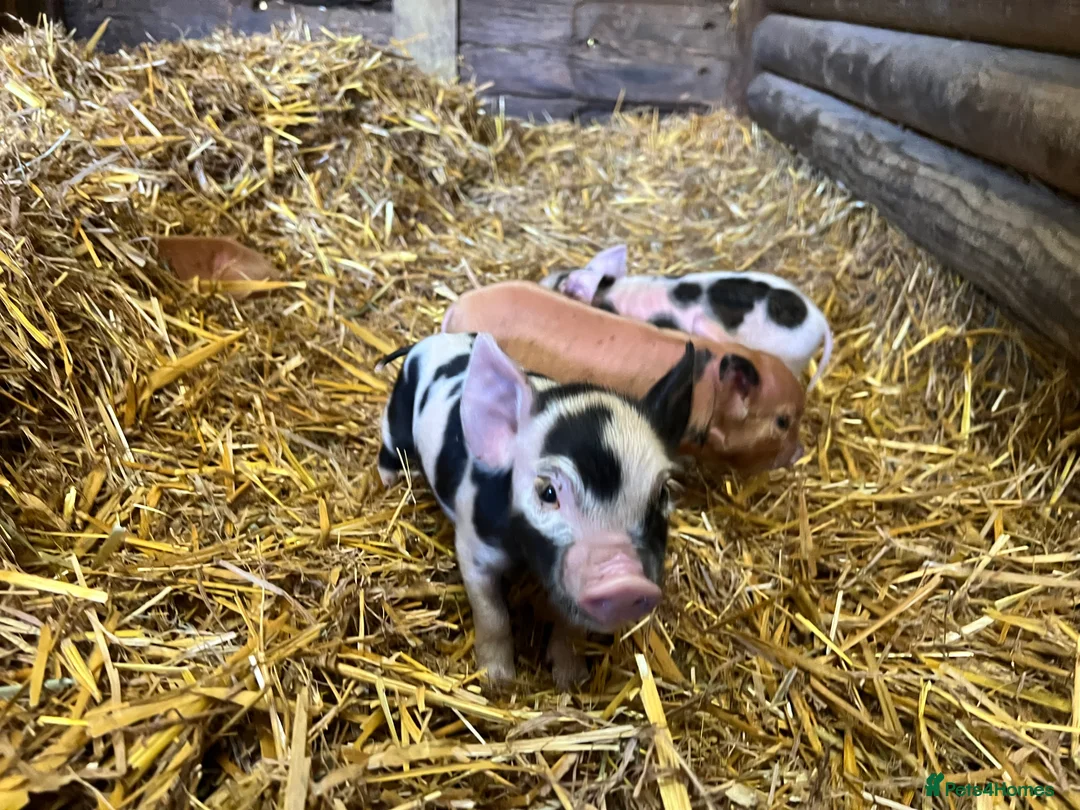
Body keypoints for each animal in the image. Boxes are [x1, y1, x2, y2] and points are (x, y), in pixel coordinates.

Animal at [375, 331, 695, 688]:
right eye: (548, 492)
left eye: (663, 493)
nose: (625, 583)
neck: (525, 555)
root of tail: (428, 340)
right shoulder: (473, 548)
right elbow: (492, 614)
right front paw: (497, 681)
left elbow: (570, 626)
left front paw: (571, 680)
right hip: (397, 415)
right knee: (389, 447)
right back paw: (391, 481)